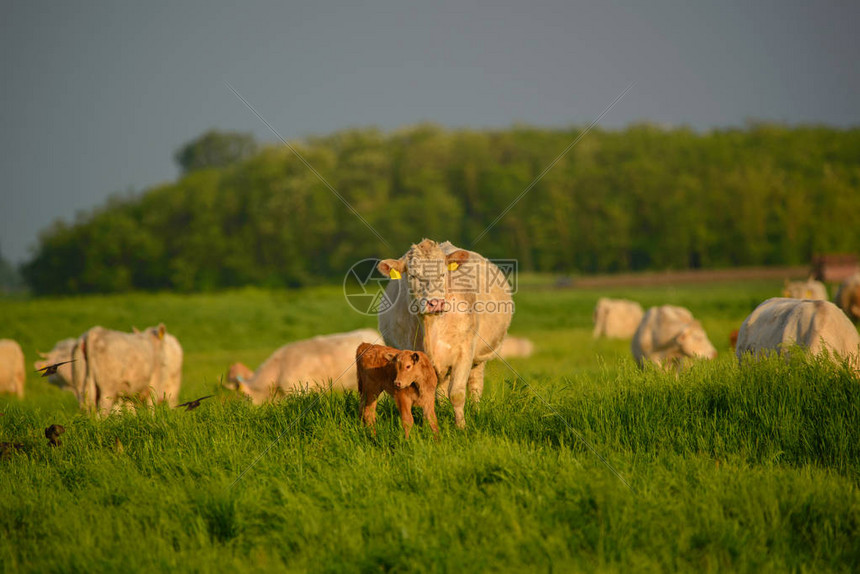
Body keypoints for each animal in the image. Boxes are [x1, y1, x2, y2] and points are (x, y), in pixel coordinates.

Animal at [376, 238, 510, 428]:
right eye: (412, 276)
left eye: (443, 274)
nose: (435, 303)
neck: (431, 327)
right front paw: (428, 425)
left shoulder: (464, 353)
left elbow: (457, 394)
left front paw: (461, 426)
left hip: (479, 356)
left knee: (475, 384)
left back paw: (475, 411)